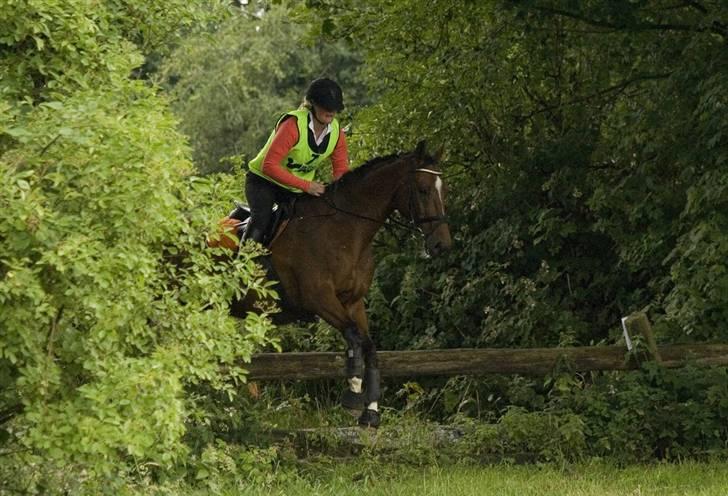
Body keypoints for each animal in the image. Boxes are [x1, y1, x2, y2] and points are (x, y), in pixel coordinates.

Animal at [230, 140, 452, 426]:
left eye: (443, 190)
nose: (442, 245)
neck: (345, 230)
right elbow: (354, 338)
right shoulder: (319, 299)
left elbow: (369, 348)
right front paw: (353, 396)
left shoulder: (353, 302)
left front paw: (371, 411)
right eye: (423, 190)